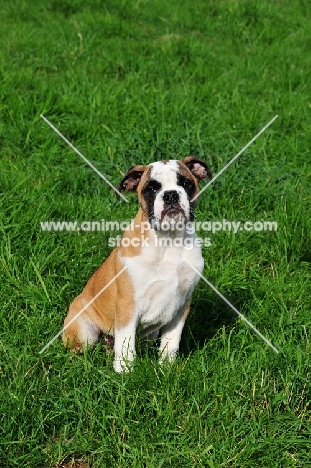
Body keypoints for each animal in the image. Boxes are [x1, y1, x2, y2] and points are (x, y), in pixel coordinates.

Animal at [61, 157, 212, 372]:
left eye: (186, 183)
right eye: (151, 189)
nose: (171, 195)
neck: (169, 241)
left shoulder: (181, 307)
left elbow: (171, 342)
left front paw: (166, 367)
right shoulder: (128, 306)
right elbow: (125, 343)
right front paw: (125, 372)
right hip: (84, 331)